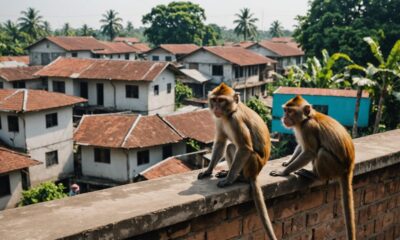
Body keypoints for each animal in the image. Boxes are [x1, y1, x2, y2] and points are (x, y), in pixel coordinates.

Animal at [198, 83, 278, 240]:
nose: (216, 108)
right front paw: (208, 171)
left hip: (253, 165)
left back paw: (239, 178)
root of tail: (255, 174)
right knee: (230, 146)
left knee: (245, 151)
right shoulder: (219, 120)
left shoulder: (236, 120)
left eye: (221, 101)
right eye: (214, 100)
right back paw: (228, 172)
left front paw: (228, 180)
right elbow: (221, 142)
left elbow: (245, 148)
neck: (229, 114)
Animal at [270, 94, 354, 239]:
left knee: (321, 152)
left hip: (335, 166)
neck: (306, 119)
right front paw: (288, 162)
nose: (284, 117)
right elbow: (301, 147)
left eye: (290, 111)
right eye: (285, 110)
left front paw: (283, 172)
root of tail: (349, 167)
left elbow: (309, 152)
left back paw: (314, 175)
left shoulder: (308, 128)